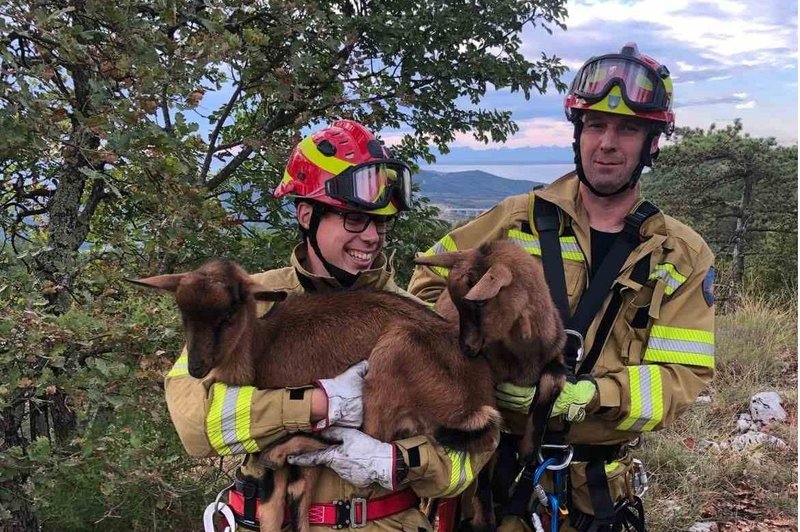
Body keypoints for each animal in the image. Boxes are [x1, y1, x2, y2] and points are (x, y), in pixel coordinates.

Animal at [133, 240, 568, 532]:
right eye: (184, 313)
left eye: (227, 315)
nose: (196, 366)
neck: (261, 350)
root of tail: (479, 398)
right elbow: (281, 507)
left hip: (394, 357)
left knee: (369, 445)